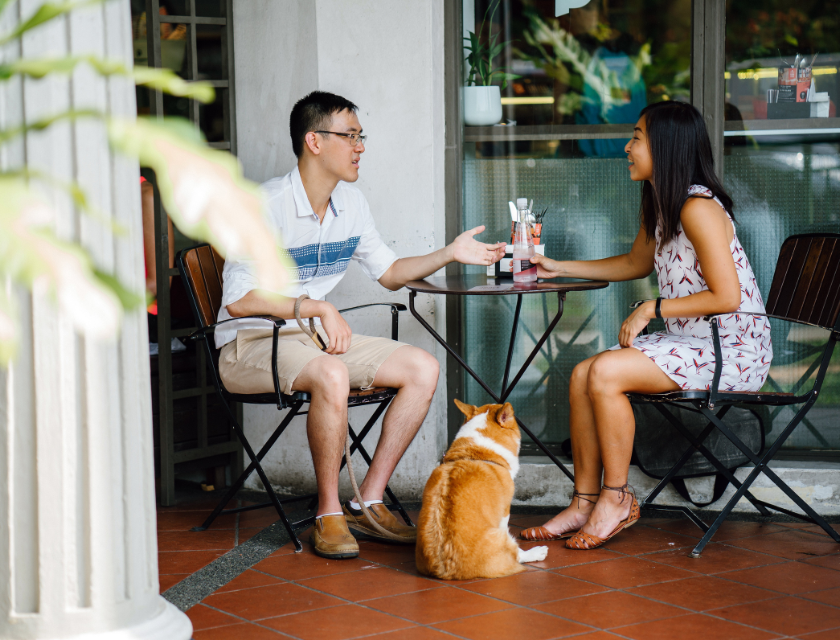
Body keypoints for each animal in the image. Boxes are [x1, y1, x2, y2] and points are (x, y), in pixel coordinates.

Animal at [416, 400, 548, 580]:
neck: (478, 452)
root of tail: (448, 571)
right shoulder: (504, 513)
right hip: (503, 537)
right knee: (515, 554)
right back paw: (537, 552)